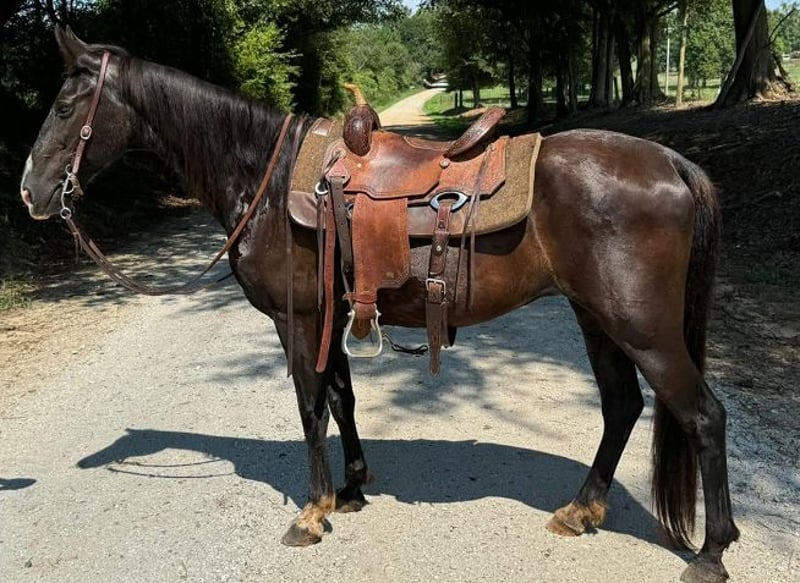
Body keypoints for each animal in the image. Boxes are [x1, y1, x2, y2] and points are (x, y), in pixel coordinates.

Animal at [20, 27, 739, 583]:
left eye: (65, 104)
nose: (30, 191)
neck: (264, 180)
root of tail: (672, 162)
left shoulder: (298, 321)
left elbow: (311, 407)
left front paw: (312, 511)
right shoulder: (333, 316)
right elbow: (341, 398)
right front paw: (352, 488)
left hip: (641, 325)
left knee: (703, 416)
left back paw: (710, 552)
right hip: (598, 319)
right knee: (622, 408)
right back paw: (581, 509)